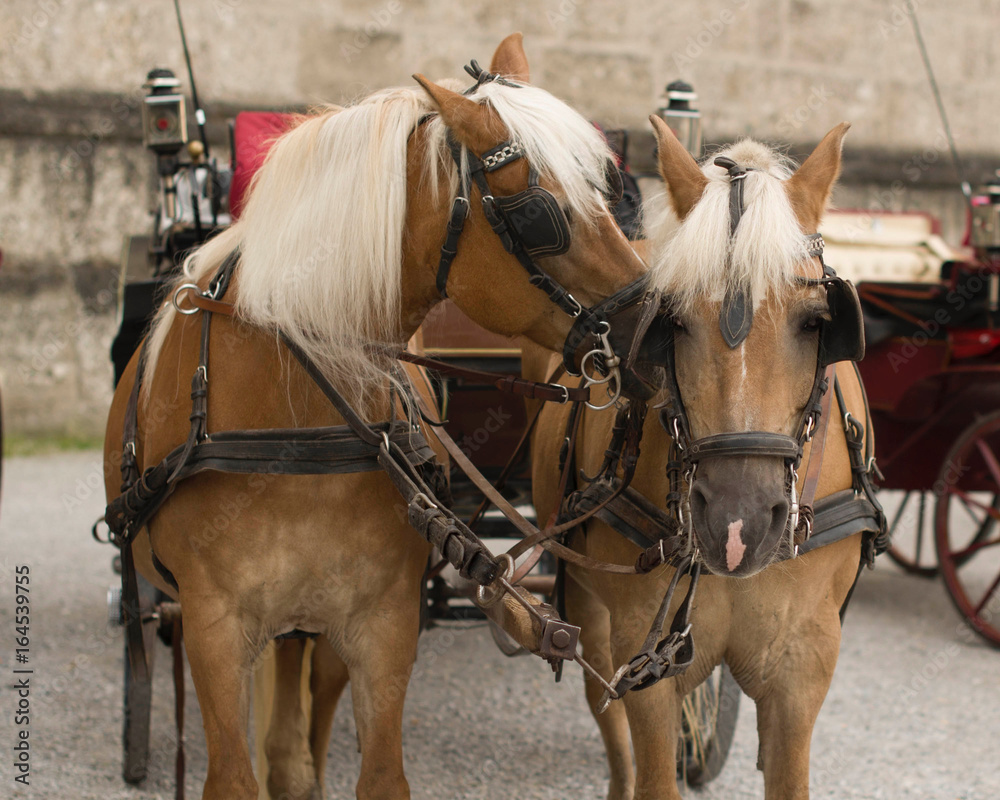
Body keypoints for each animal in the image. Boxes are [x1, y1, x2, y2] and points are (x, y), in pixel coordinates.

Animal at [105, 36, 644, 800]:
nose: (658, 321)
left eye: (612, 187)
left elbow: (379, 771)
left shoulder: (383, 619)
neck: (293, 427)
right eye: (538, 213)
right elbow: (234, 774)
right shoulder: (214, 625)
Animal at [528, 120, 880, 800]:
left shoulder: (802, 668)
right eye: (673, 322)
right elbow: (649, 765)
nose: (737, 526)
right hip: (587, 608)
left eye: (815, 322)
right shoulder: (645, 659)